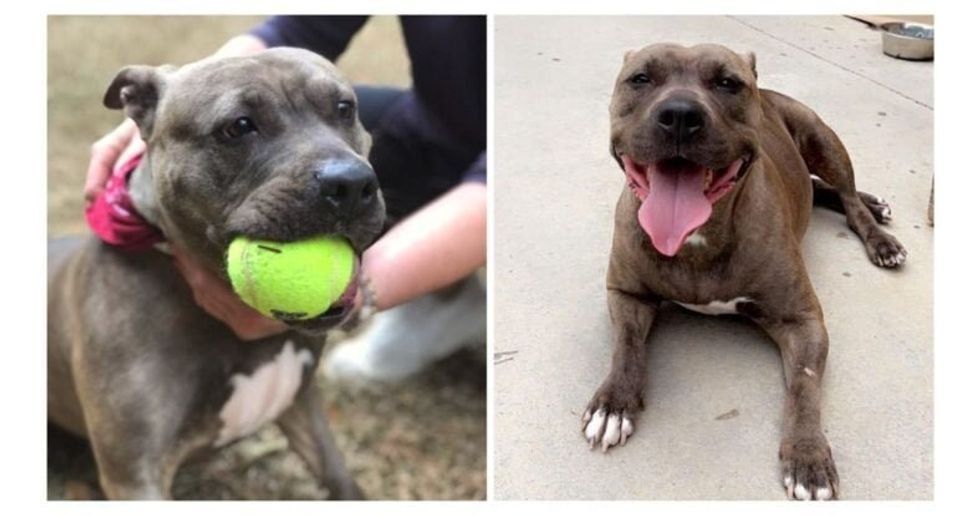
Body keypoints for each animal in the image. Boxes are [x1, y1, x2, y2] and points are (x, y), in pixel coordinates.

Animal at [47, 49, 382, 500]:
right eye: (238, 126)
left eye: (345, 108)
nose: (349, 183)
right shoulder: (134, 476)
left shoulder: (302, 403)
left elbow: (337, 474)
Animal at [580, 44, 908, 500]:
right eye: (641, 78)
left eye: (727, 83)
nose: (680, 114)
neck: (697, 238)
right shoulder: (626, 293)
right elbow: (626, 347)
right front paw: (614, 403)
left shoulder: (802, 321)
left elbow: (804, 385)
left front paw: (807, 455)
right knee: (819, 189)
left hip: (822, 139)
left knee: (845, 193)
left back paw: (877, 229)